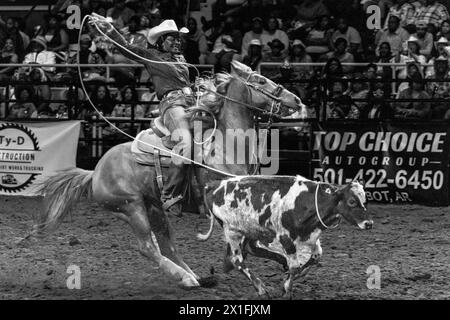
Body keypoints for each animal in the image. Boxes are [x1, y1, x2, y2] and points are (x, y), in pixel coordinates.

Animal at [33, 59, 308, 288]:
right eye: (260, 81)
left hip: (154, 207)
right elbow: (248, 245)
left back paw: (196, 277)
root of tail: (95, 172)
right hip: (131, 208)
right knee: (148, 247)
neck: (226, 146)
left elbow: (258, 242)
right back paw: (185, 278)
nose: (296, 100)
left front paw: (289, 265)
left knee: (167, 246)